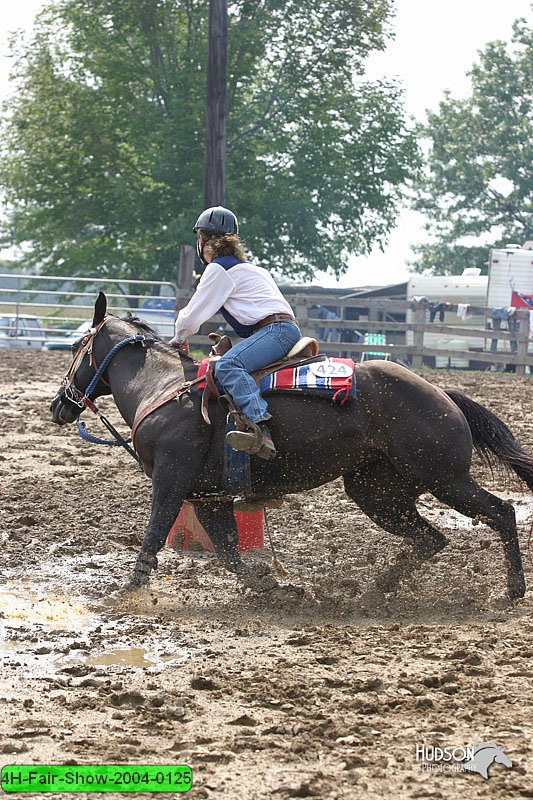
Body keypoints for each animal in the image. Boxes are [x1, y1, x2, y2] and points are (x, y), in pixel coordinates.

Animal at [51, 292, 532, 600]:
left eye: (76, 345)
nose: (59, 405)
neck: (164, 386)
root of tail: (442, 394)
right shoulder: (207, 495)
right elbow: (229, 553)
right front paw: (277, 589)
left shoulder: (172, 480)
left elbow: (154, 532)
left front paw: (126, 591)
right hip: (376, 491)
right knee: (430, 538)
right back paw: (376, 590)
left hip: (444, 477)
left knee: (500, 512)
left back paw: (511, 590)